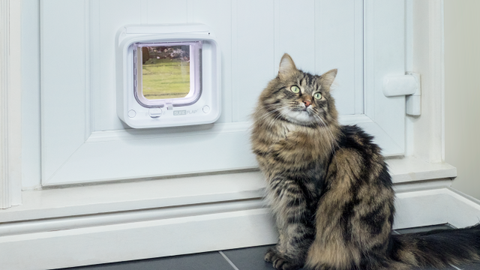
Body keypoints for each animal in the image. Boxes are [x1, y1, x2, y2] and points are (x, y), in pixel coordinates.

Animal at [251, 53, 480, 270]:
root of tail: (388, 245)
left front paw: (290, 259)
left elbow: (298, 232)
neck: (287, 137)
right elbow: (284, 228)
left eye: (317, 95)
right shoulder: (280, 191)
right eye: (295, 88)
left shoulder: (304, 193)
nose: (307, 102)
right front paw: (280, 251)